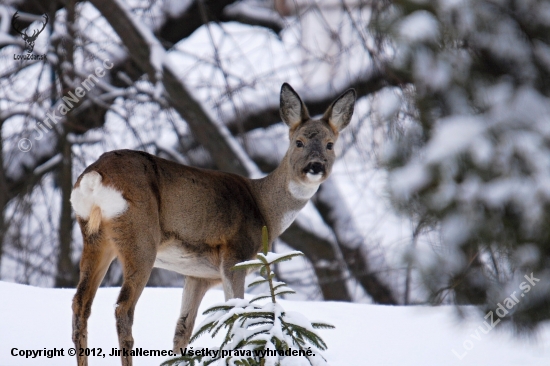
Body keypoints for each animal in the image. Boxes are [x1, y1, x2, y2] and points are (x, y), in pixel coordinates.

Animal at [70, 81, 358, 364]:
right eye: (298, 142)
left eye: (330, 144)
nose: (315, 166)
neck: (264, 209)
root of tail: (94, 176)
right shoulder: (235, 256)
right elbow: (238, 314)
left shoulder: (198, 274)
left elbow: (183, 329)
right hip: (140, 238)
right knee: (123, 308)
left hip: (96, 237)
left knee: (80, 303)